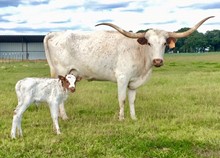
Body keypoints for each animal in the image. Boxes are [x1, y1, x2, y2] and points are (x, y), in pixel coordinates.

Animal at [43, 15, 214, 119]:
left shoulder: (133, 82)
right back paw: (64, 117)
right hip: (62, 72)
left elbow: (132, 100)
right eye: (149, 43)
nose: (158, 61)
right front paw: (121, 118)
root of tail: (54, 33)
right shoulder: (122, 78)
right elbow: (122, 99)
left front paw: (133, 118)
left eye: (165, 43)